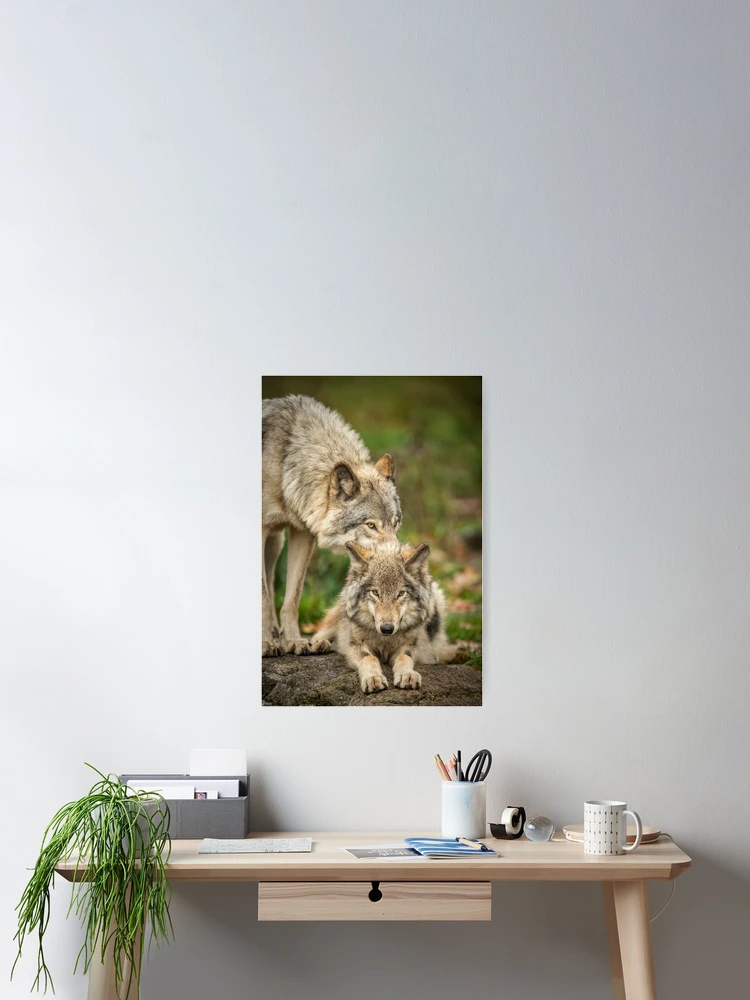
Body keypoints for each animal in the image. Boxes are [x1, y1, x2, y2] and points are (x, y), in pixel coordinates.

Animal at [262, 394, 402, 656]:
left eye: (396, 524)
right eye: (371, 525)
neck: (286, 459)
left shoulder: (302, 532)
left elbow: (292, 598)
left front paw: (294, 642)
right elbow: (264, 598)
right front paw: (266, 644)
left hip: (276, 543)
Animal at [316, 540, 458, 693]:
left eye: (401, 593)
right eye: (375, 593)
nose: (387, 629)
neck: (385, 640)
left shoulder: (409, 646)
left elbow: (404, 657)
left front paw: (407, 674)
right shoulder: (356, 645)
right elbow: (369, 658)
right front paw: (373, 678)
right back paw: (317, 645)